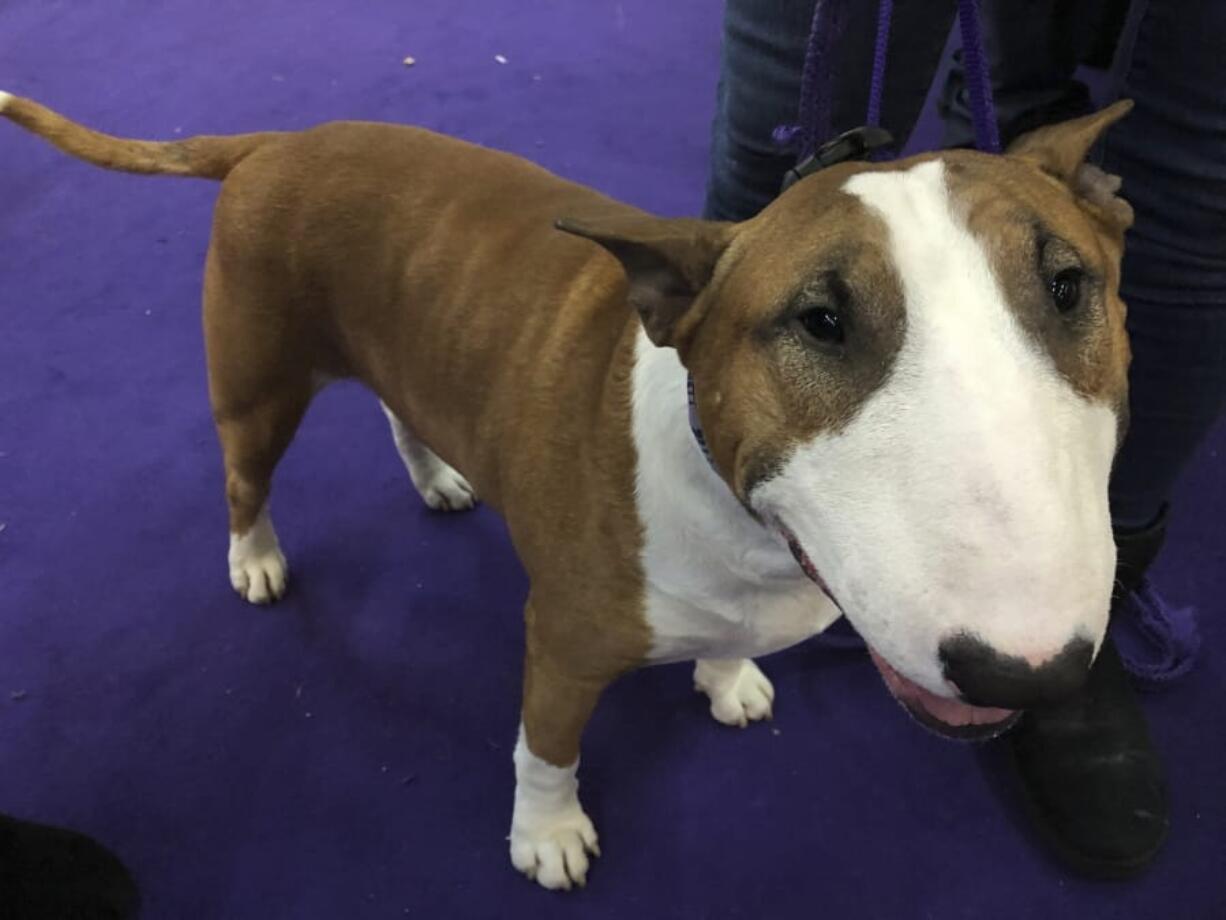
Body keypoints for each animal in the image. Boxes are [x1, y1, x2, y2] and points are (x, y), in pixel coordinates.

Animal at [0, 90, 1132, 888]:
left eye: (1068, 286)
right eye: (819, 322)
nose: (1030, 672)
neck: (742, 525)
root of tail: (272, 142)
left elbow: (725, 646)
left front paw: (727, 677)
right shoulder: (563, 639)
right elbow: (545, 747)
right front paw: (546, 838)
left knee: (400, 410)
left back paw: (438, 477)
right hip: (258, 383)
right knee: (243, 476)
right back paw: (256, 559)